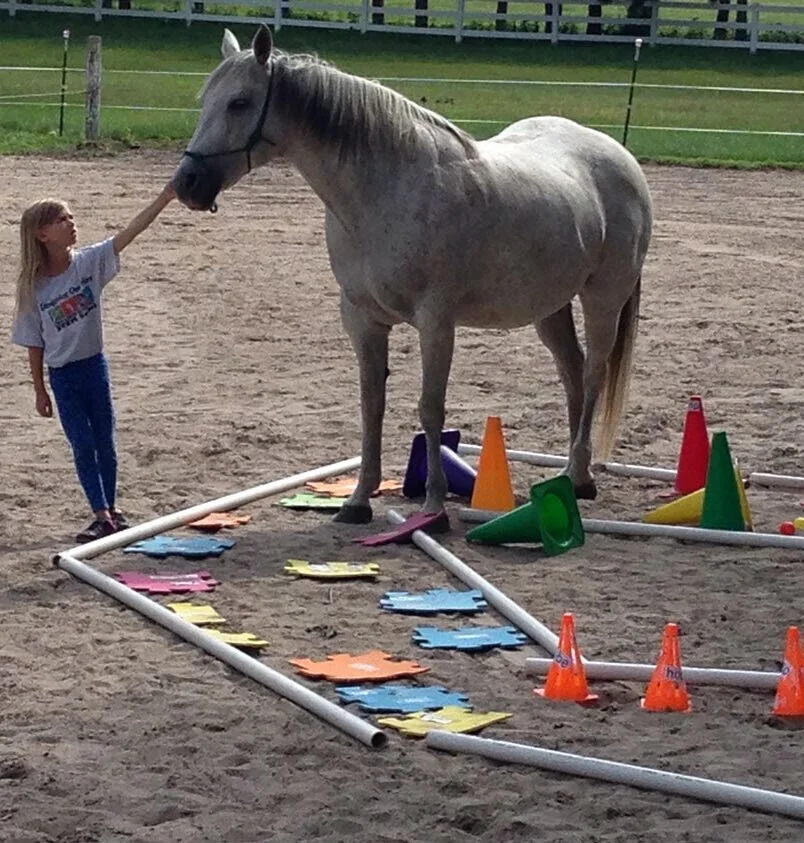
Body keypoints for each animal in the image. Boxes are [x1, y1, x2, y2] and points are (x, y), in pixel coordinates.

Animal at [173, 24, 653, 525]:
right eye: (206, 99)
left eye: (240, 102)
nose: (186, 183)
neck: (387, 190)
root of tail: (617, 155)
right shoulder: (362, 319)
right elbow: (372, 405)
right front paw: (358, 500)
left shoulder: (435, 322)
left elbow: (430, 408)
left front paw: (434, 505)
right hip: (550, 307)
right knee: (572, 372)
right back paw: (571, 473)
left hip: (603, 301)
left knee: (594, 372)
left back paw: (580, 478)